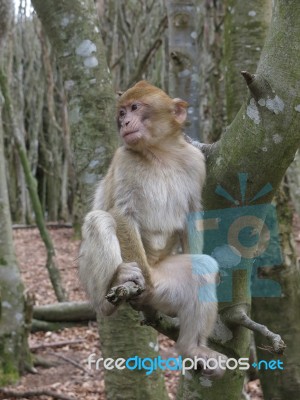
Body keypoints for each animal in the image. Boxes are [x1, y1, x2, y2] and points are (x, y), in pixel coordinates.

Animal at [78, 82, 226, 378]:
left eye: (135, 108)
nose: (125, 122)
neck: (161, 153)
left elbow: (192, 214)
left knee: (202, 267)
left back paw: (193, 349)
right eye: (122, 112)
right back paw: (114, 294)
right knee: (99, 220)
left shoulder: (196, 162)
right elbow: (121, 213)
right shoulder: (124, 158)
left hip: (166, 287)